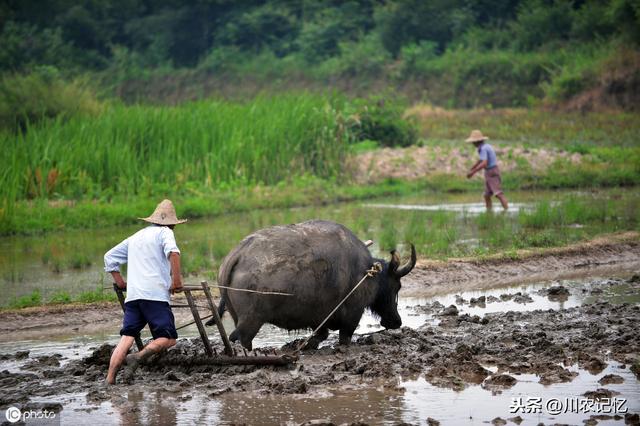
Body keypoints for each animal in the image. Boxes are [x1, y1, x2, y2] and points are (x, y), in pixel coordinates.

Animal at [208, 218, 418, 352]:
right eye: (396, 286)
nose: (396, 322)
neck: (365, 272)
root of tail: (237, 254)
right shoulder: (352, 314)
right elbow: (344, 337)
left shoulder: (319, 318)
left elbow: (321, 335)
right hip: (251, 321)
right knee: (240, 339)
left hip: (237, 315)